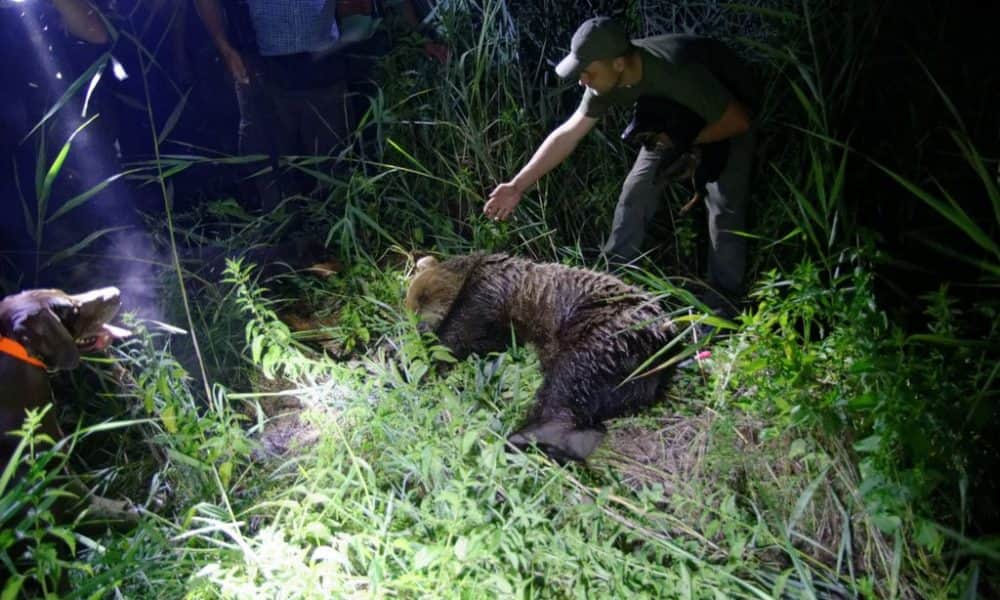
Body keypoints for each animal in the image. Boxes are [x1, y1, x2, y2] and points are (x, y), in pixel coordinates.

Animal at [406, 251, 680, 462]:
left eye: (422, 298)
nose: (418, 325)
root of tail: (664, 339)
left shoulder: (487, 295)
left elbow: (456, 337)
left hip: (606, 330)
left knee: (569, 380)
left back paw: (516, 437)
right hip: (634, 374)